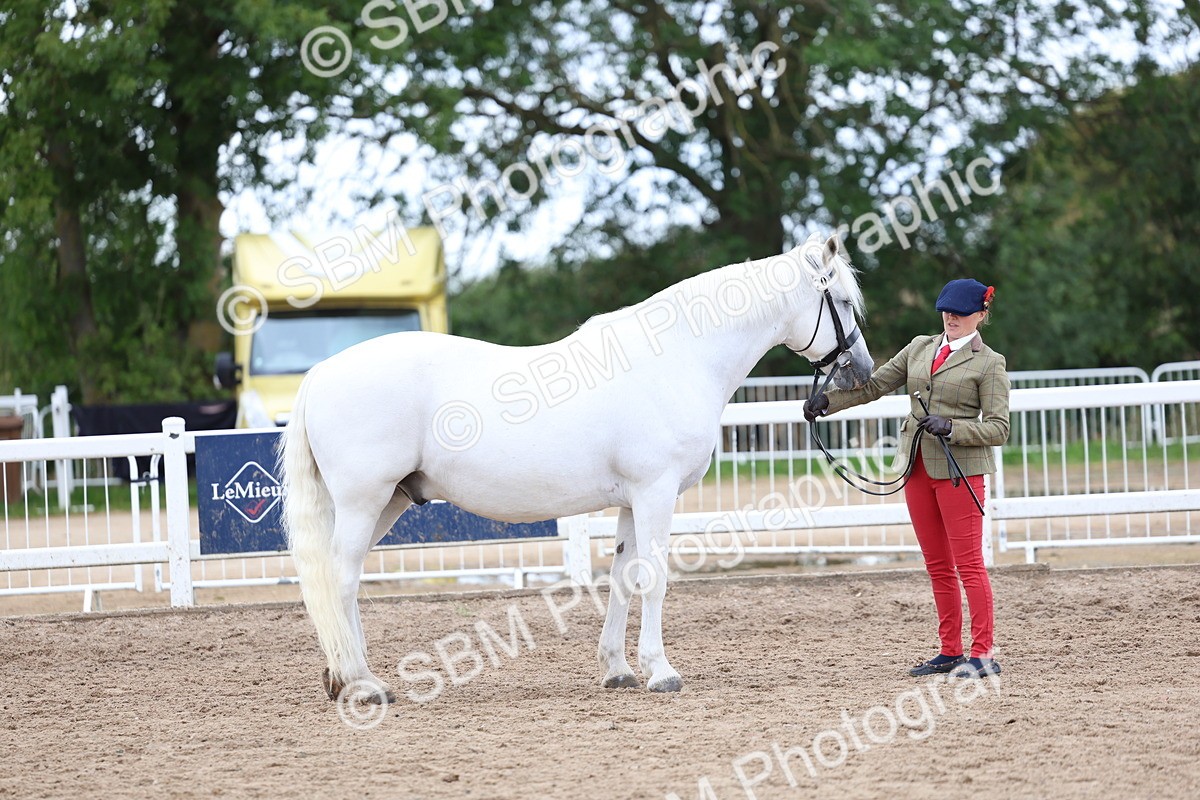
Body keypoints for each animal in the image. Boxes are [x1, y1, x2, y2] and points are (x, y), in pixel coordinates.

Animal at [279, 232, 873, 703]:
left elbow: (623, 577)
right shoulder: (657, 492)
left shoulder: (633, 500)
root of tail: (322, 373)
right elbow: (655, 578)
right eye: (842, 300)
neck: (678, 357)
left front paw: (618, 669)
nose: (861, 370)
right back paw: (363, 685)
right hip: (365, 500)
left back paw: (344, 676)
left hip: (389, 501)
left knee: (340, 577)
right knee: (341, 579)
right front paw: (661, 671)